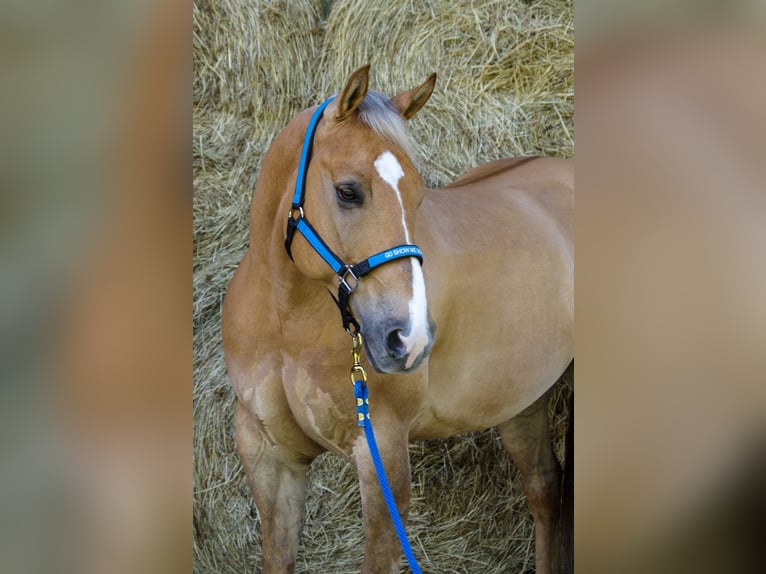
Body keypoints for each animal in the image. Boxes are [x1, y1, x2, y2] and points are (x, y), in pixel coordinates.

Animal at [222, 65, 573, 574]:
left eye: (418, 197)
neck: (285, 323)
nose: (408, 338)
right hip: (521, 399)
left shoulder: (382, 454)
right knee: (546, 489)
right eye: (348, 191)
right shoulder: (269, 456)